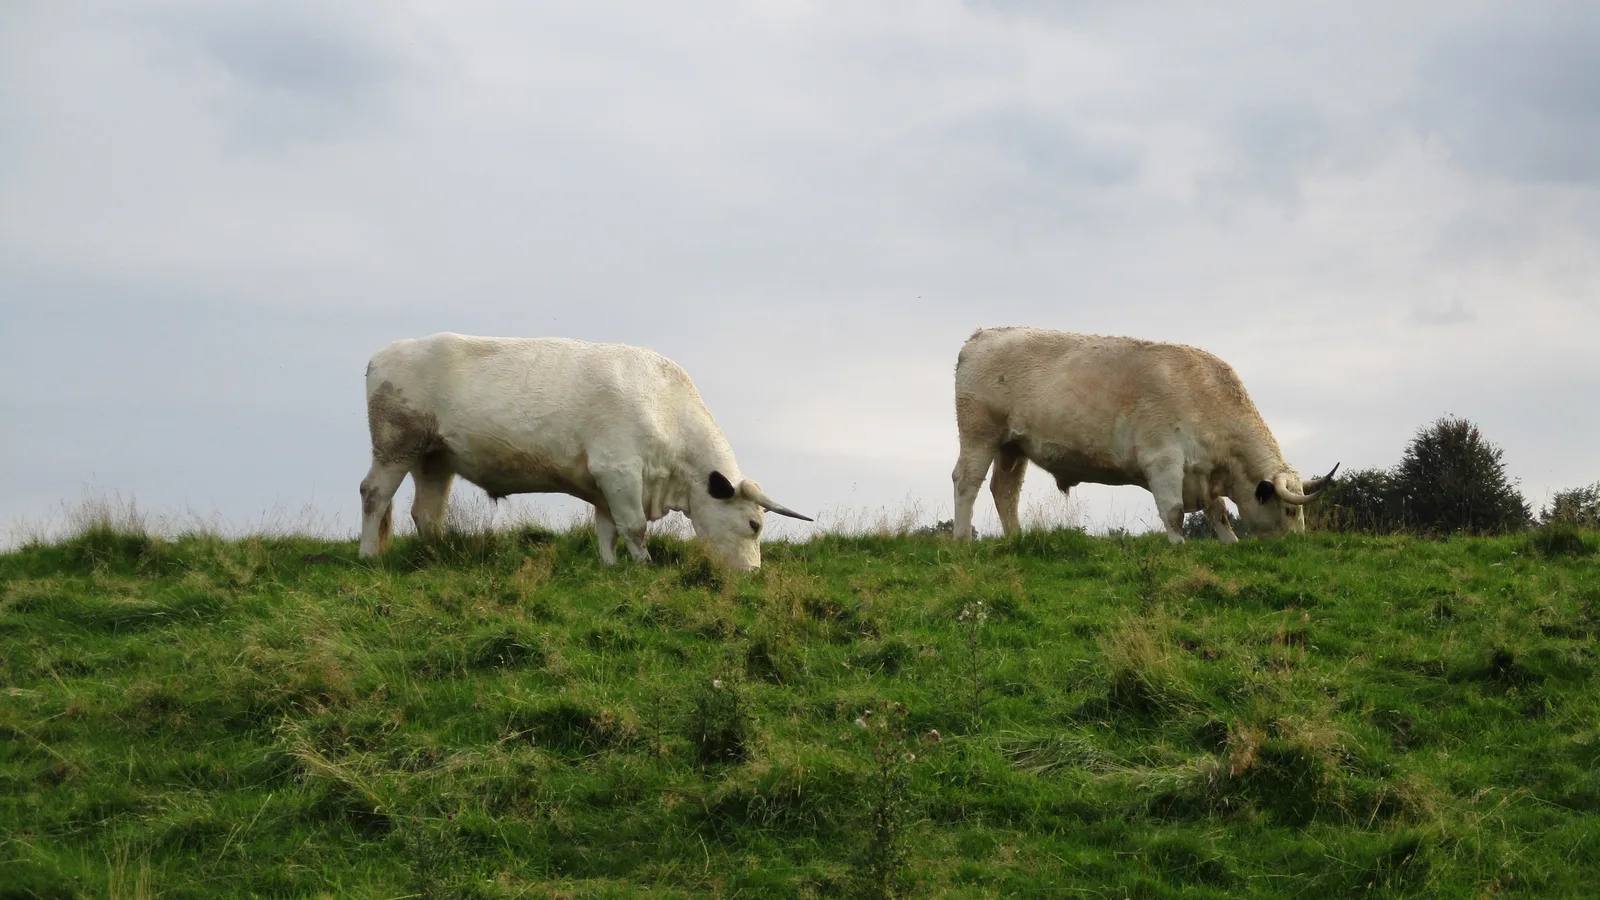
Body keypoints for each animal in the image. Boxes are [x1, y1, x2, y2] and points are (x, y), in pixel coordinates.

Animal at [359, 333, 811, 569]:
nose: (752, 572)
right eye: (754, 525)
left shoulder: (606, 483)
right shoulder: (620, 470)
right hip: (395, 445)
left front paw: (610, 567)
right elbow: (634, 526)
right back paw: (368, 554)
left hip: (434, 458)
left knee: (426, 512)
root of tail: (382, 354)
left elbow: (606, 528)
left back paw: (437, 556)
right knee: (374, 494)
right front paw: (644, 566)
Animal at [951, 327, 1336, 544]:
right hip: (979, 436)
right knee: (966, 481)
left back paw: (1016, 540)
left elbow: (1219, 514)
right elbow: (1174, 513)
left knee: (1005, 491)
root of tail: (981, 337)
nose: (1296, 545)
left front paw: (1230, 543)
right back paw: (961, 539)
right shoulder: (1163, 460)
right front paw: (1179, 547)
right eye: (1289, 511)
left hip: (1012, 448)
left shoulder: (1202, 475)